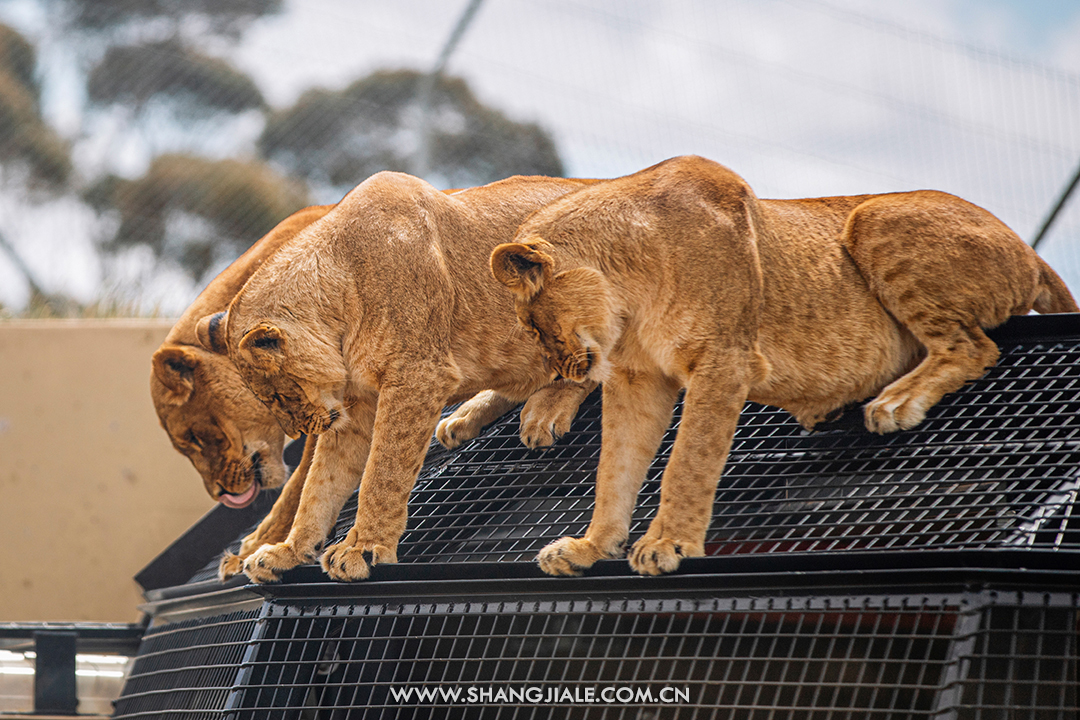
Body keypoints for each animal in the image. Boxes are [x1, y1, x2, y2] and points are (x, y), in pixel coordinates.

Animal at [492, 153, 1080, 578]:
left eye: (534, 324)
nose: (560, 374)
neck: (628, 296)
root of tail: (1029, 252)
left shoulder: (724, 361)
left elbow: (688, 462)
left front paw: (669, 544)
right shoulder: (639, 380)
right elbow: (615, 470)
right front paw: (591, 547)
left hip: (874, 217)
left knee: (972, 346)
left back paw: (896, 402)